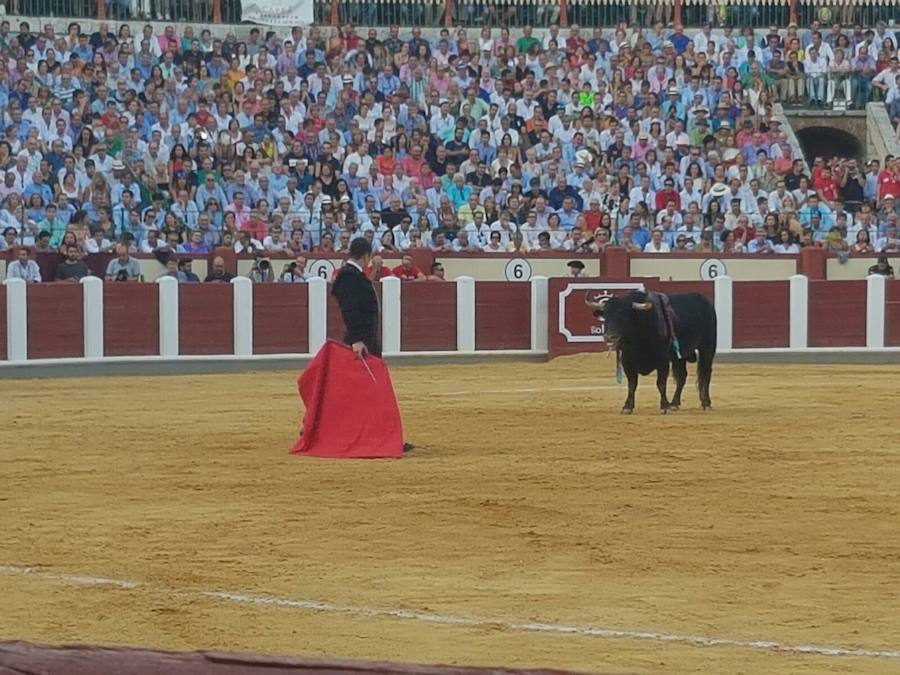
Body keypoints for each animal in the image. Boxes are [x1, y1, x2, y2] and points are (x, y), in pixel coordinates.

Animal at [584, 290, 716, 414]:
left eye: (624, 315)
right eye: (606, 316)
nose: (610, 337)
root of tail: (705, 301)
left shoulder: (663, 361)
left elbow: (661, 383)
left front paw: (664, 406)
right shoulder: (627, 361)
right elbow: (632, 384)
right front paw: (627, 407)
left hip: (707, 347)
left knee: (705, 373)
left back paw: (706, 403)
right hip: (679, 356)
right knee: (682, 376)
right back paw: (674, 403)